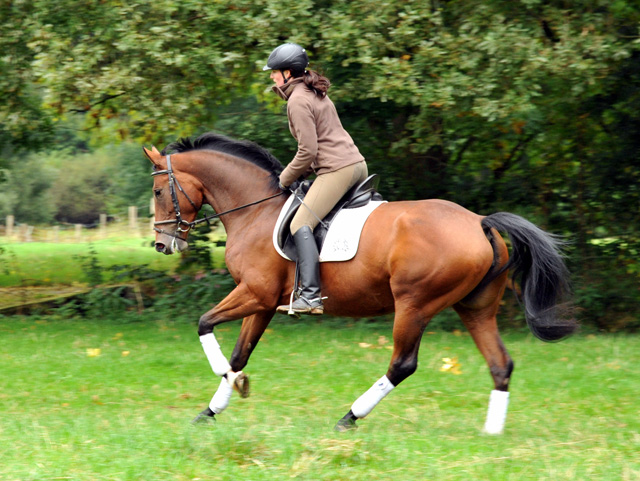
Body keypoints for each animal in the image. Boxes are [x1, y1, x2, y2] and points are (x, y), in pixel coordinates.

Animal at [145, 132, 576, 436]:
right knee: (500, 364)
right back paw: (491, 432)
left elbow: (205, 323)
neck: (255, 210)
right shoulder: (264, 303)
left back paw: (349, 417)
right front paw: (213, 408)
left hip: (414, 305)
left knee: (403, 363)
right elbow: (240, 354)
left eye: (158, 191)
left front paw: (226, 380)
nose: (163, 244)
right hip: (475, 308)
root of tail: (480, 222)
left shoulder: (254, 293)